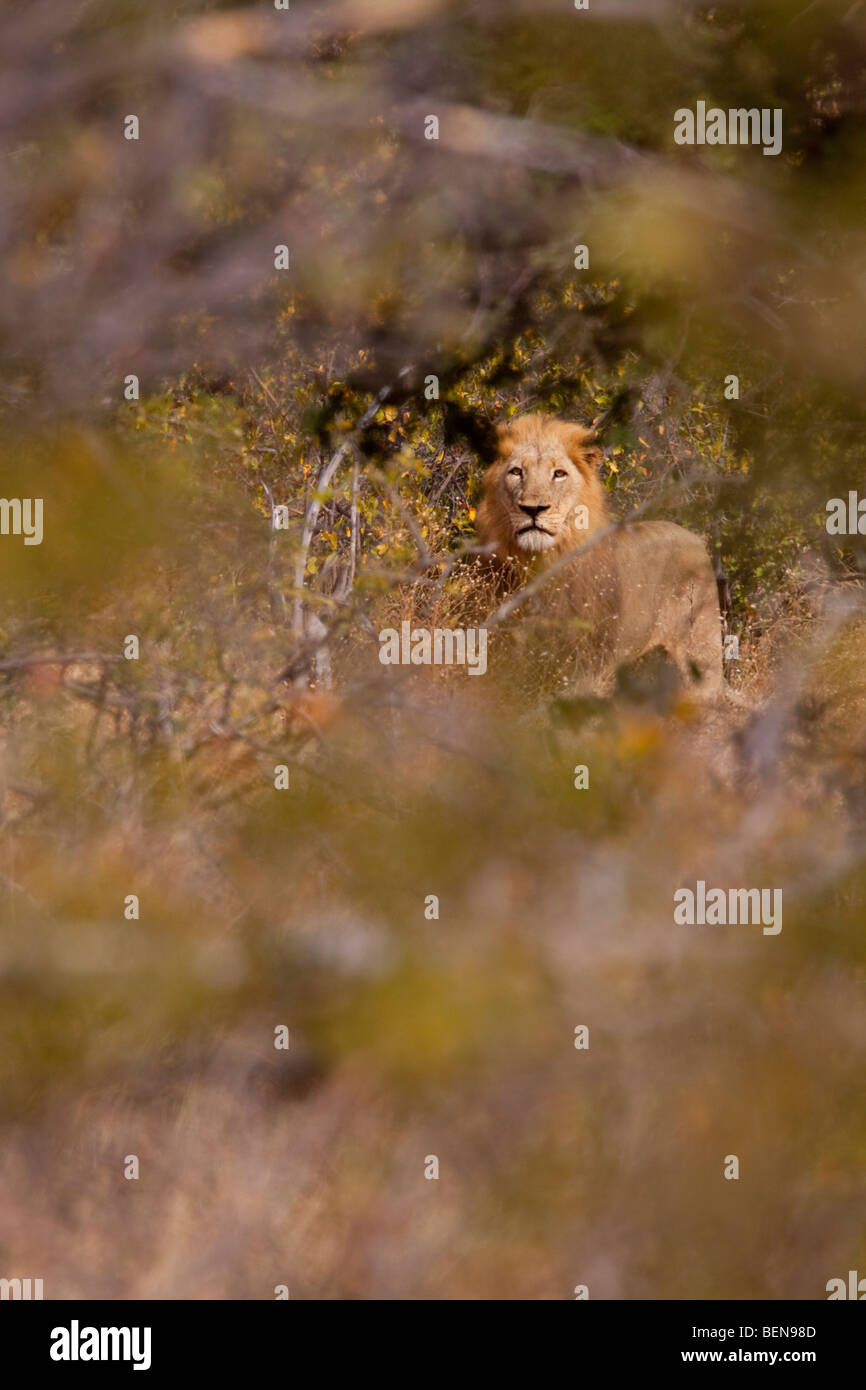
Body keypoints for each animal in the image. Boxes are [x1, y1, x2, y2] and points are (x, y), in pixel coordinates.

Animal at [478, 405, 728, 700]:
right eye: (516, 472)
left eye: (559, 474)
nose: (533, 509)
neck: (542, 561)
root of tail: (696, 539)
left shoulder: (589, 664)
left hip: (701, 651)